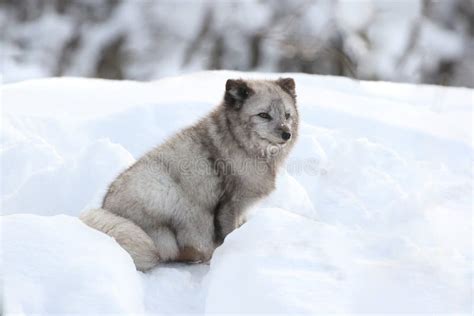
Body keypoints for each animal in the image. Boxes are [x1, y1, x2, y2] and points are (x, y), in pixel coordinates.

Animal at [80, 78, 298, 270]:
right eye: (263, 115)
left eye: (287, 115)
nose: (287, 134)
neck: (239, 144)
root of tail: (106, 209)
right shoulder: (229, 204)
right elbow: (228, 234)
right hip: (175, 199)